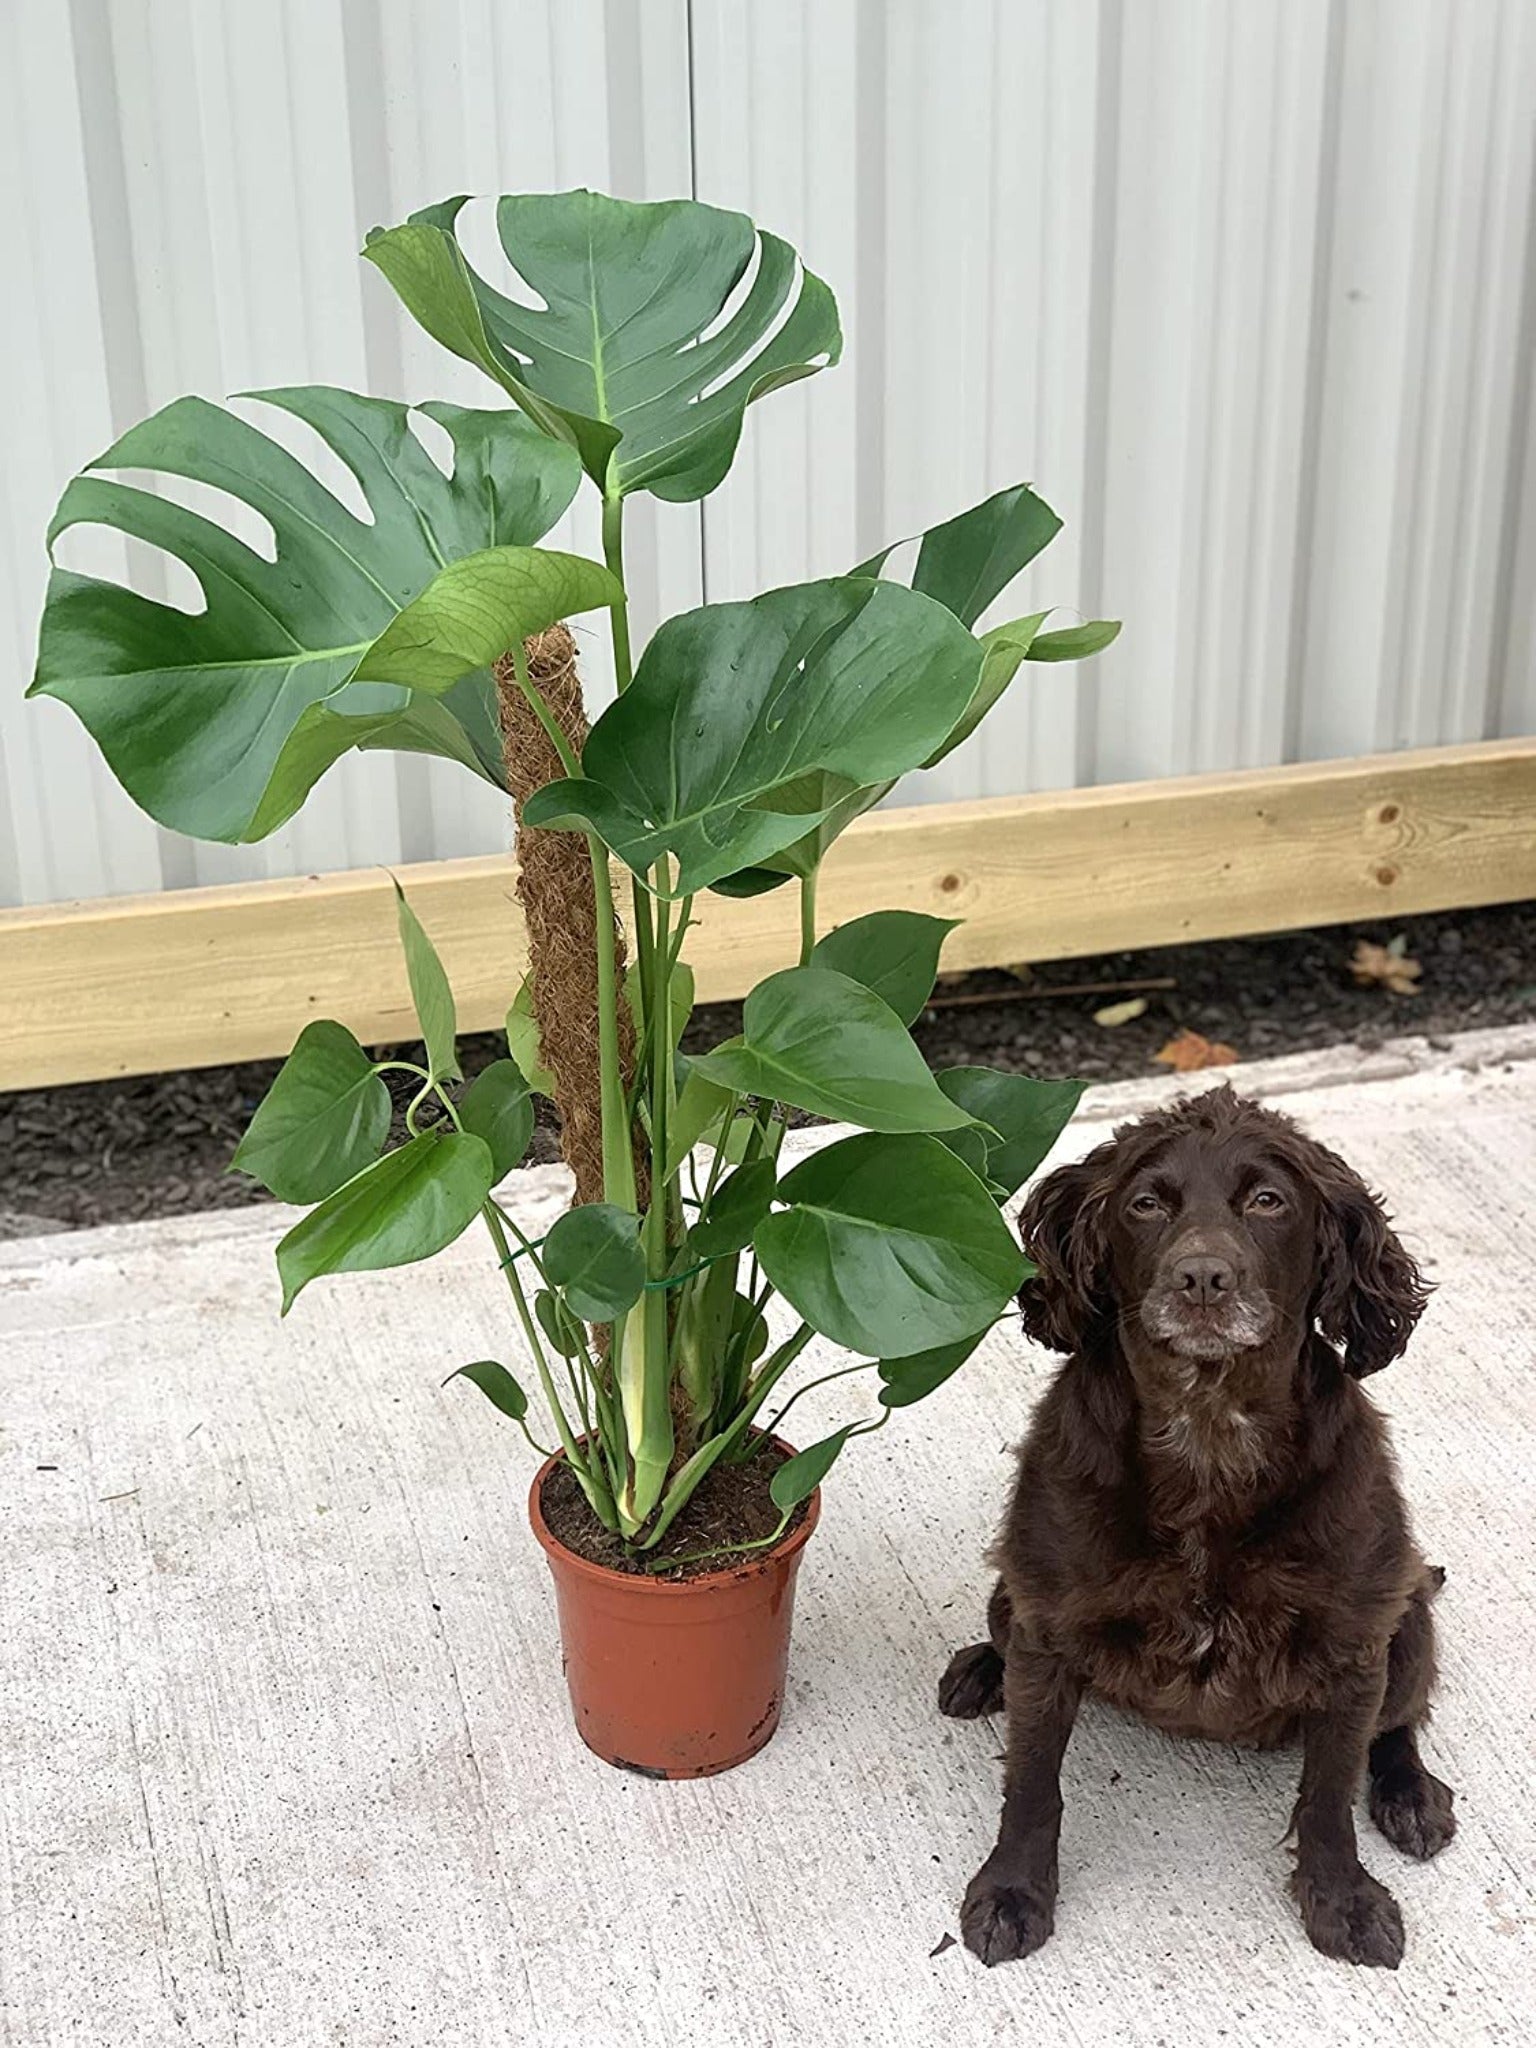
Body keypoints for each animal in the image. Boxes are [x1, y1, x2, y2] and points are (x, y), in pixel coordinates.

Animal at [946, 1089, 1458, 1966]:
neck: (1209, 1430)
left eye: (1269, 1201)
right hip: (1011, 1593)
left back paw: (1412, 1795)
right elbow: (1032, 1784)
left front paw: (1343, 1901)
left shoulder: (1352, 1649)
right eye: (1146, 1204)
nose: (1203, 1278)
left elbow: (1329, 1796)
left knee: (1398, 1725)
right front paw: (1013, 1891)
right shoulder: (1050, 1630)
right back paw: (980, 1668)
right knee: (1001, 1630)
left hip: (1408, 1622)